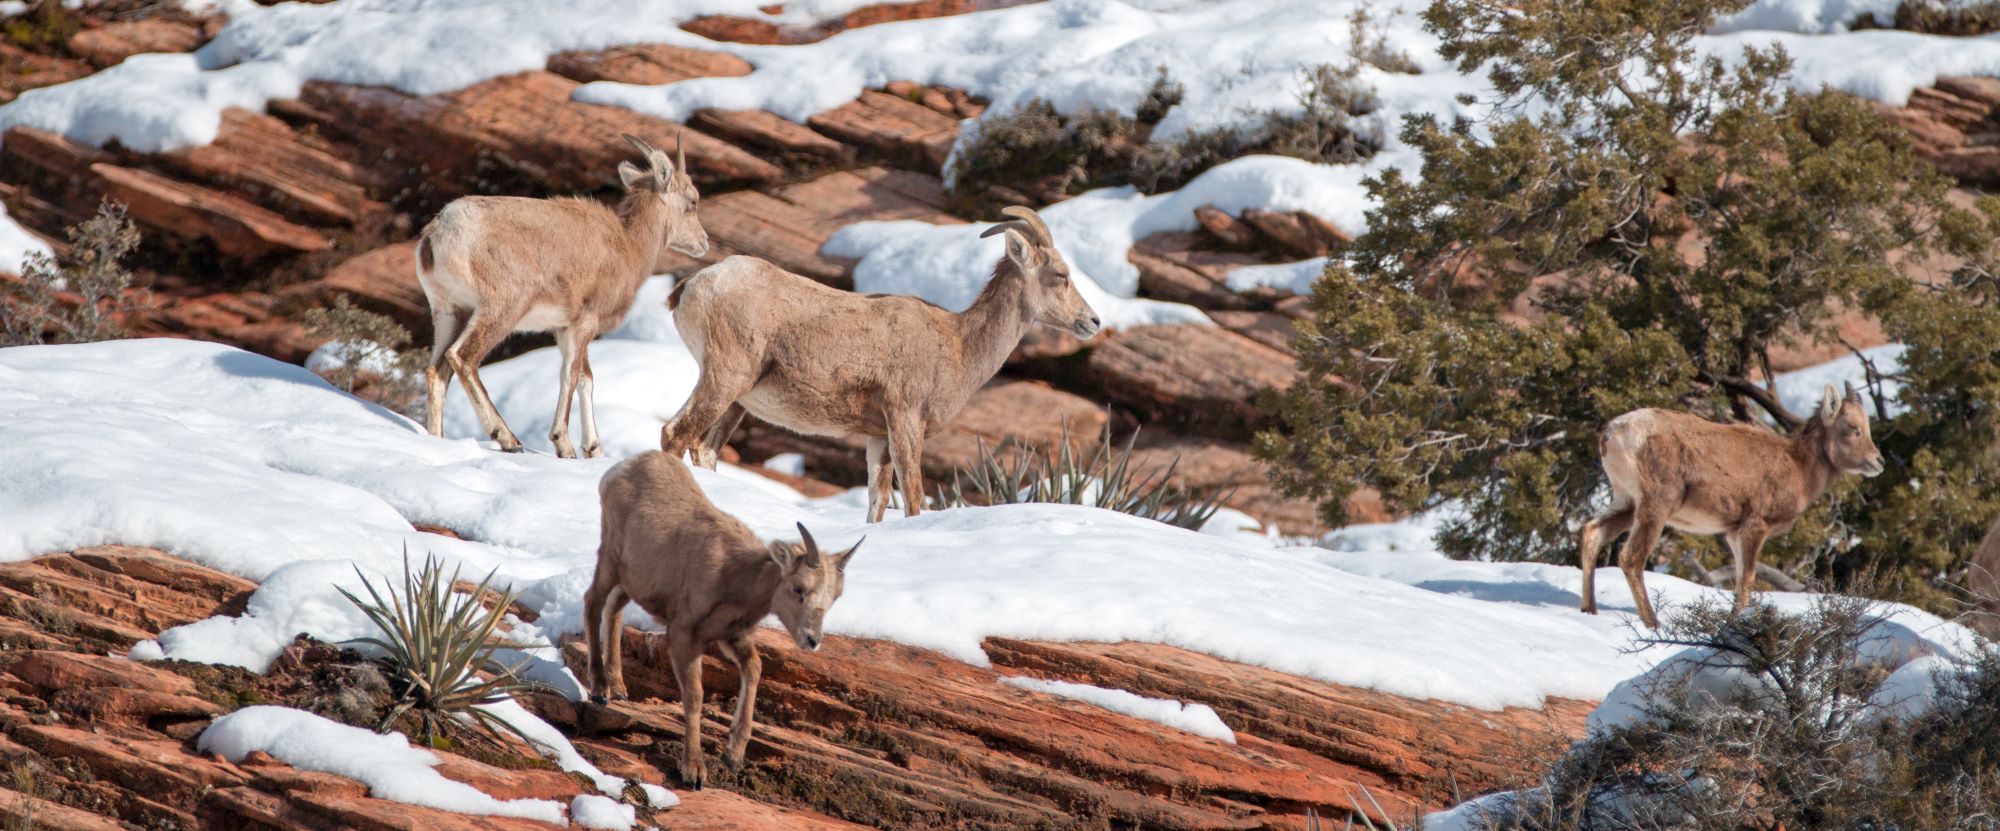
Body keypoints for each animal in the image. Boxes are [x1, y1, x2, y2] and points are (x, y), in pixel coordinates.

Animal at [414, 132, 712, 457]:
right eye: (693, 201)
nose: (703, 242)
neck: (628, 246)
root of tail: (439, 232)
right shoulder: (584, 323)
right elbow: (570, 375)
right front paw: (565, 446)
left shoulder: (563, 328)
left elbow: (585, 378)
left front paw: (594, 449)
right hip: (500, 311)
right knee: (462, 357)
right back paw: (509, 439)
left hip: (450, 312)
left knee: (437, 371)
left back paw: (437, 437)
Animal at [584, 451, 856, 787]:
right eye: (798, 588)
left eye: (835, 597)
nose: (812, 640)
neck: (732, 577)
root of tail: (624, 466)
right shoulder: (684, 637)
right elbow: (694, 697)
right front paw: (694, 772)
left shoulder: (733, 637)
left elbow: (754, 668)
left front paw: (733, 756)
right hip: (610, 560)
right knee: (593, 602)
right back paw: (599, 690)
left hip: (632, 581)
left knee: (614, 607)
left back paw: (619, 687)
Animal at [660, 205, 1104, 519]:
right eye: (1061, 274)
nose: (1093, 321)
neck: (958, 345)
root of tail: (695, 285)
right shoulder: (905, 420)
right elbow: (913, 499)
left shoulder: (878, 438)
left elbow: (877, 504)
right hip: (725, 378)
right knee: (675, 435)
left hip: (738, 400)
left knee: (704, 450)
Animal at [1568, 383, 1880, 631]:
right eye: (1854, 428)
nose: (1878, 461)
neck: (1798, 467)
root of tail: (1611, 435)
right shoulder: (1754, 527)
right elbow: (1746, 580)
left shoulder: (1732, 533)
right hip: (1655, 506)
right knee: (1631, 558)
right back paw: (1653, 623)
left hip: (1626, 503)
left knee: (1592, 532)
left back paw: (1589, 610)